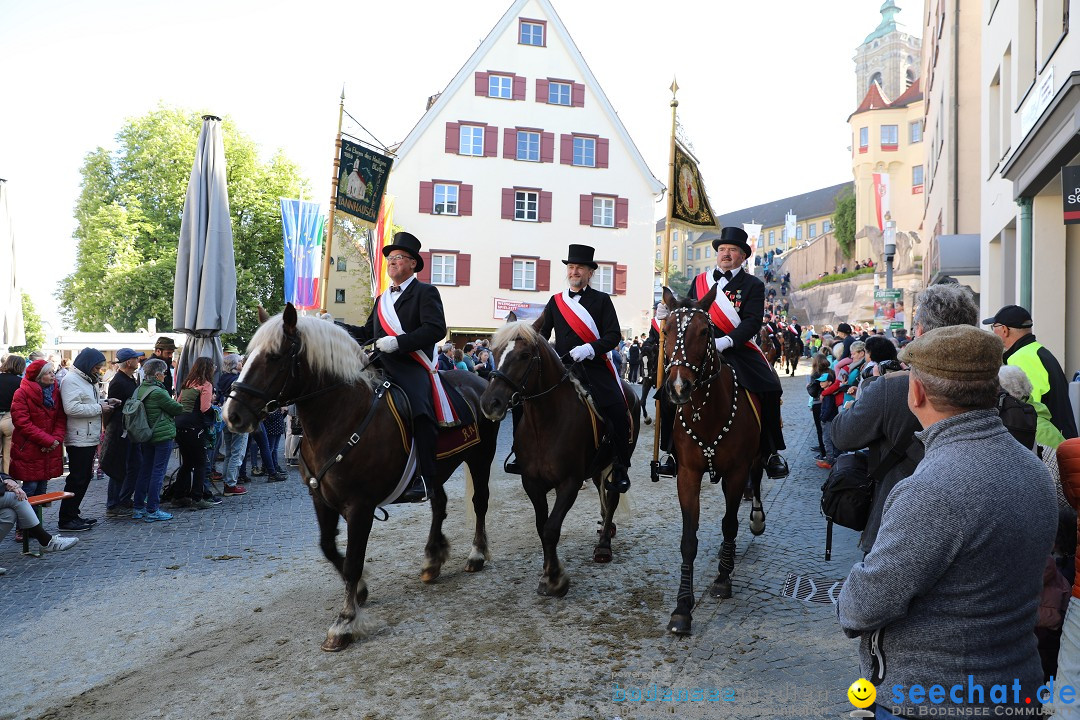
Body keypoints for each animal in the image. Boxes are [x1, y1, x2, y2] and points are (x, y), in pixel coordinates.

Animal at [226, 306, 501, 651]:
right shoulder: (320, 498)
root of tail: (478, 381)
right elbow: (328, 547)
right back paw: (432, 559)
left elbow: (354, 559)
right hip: (437, 470)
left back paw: (476, 554)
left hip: (480, 458)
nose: (232, 414)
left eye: (274, 356)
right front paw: (358, 590)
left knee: (479, 502)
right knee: (439, 503)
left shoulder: (360, 506)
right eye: (247, 355)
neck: (339, 416)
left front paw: (345, 622)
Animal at [481, 313, 639, 600]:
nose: (490, 404)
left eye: (524, 355)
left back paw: (604, 545)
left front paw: (555, 579)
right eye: (495, 352)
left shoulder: (569, 483)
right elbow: (541, 526)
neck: (545, 423)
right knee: (602, 492)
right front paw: (548, 571)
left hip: (616, 463)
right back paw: (605, 527)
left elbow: (551, 528)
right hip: (598, 466)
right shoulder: (532, 483)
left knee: (611, 496)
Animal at [656, 287, 768, 634]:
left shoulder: (736, 472)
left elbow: (729, 523)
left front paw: (722, 578)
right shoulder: (687, 475)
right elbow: (688, 541)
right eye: (666, 330)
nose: (678, 388)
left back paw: (755, 518)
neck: (706, 411)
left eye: (706, 331)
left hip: (756, 457)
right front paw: (682, 608)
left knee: (757, 478)